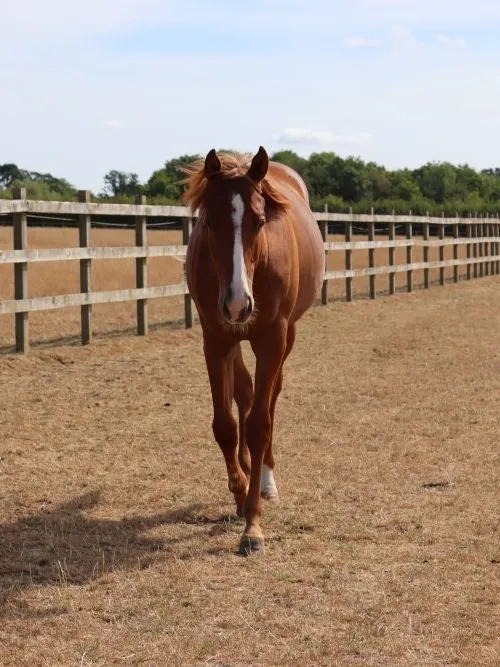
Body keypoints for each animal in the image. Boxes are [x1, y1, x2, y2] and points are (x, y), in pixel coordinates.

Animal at [182, 146, 325, 555]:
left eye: (260, 221)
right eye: (209, 222)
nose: (236, 303)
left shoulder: (272, 339)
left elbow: (261, 424)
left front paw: (253, 526)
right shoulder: (216, 339)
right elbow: (225, 425)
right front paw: (238, 490)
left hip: (285, 336)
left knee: (270, 400)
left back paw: (265, 480)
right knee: (245, 393)